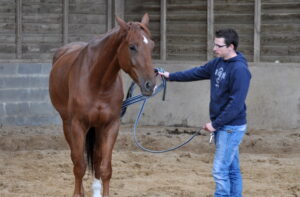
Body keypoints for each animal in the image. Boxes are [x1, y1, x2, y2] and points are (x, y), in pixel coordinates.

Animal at [48, 13, 156, 196]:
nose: (150, 84)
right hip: (67, 124)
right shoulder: (78, 125)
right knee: (76, 158)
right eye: (132, 47)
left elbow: (105, 167)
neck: (97, 82)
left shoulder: (110, 125)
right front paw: (77, 194)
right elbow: (79, 165)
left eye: (152, 46)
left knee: (97, 158)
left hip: (97, 127)